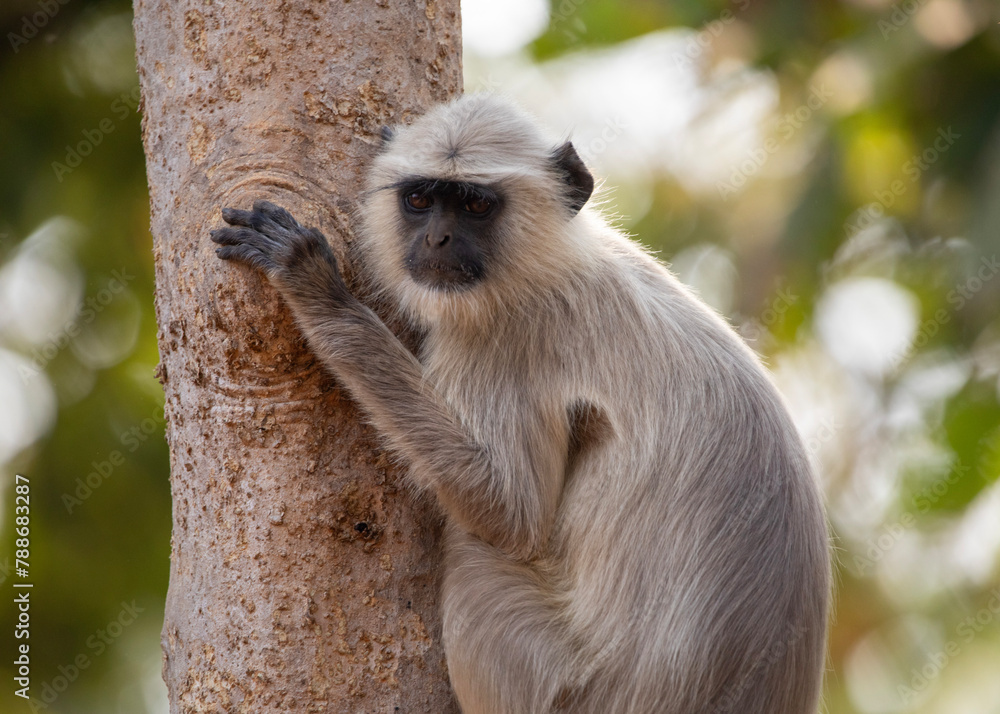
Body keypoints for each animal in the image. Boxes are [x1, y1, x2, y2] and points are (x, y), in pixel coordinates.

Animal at [210, 94, 830, 714]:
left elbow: (511, 514)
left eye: (476, 204)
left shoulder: (505, 336)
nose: (437, 241)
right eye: (420, 200)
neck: (548, 263)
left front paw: (318, 292)